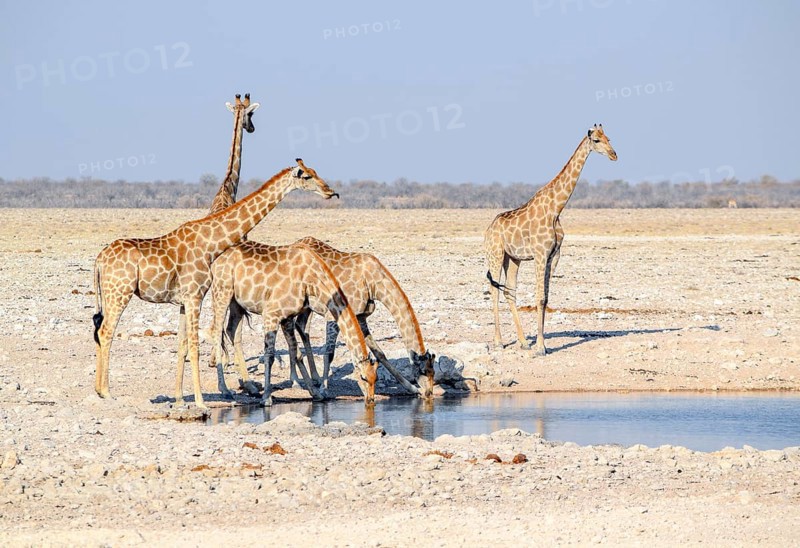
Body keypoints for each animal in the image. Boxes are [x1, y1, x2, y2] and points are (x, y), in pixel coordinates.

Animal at [92, 159, 338, 409]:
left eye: (315, 172)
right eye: (306, 176)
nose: (330, 191)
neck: (210, 245)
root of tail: (99, 260)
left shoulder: (184, 301)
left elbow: (182, 345)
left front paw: (179, 398)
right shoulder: (195, 296)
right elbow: (195, 345)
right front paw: (201, 402)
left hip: (110, 295)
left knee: (99, 329)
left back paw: (99, 390)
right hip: (120, 292)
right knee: (105, 332)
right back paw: (106, 392)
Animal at [207, 242, 378, 406]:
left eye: (375, 378)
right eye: (362, 377)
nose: (370, 400)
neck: (310, 278)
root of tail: (216, 259)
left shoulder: (287, 317)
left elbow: (296, 351)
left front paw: (315, 393)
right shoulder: (271, 314)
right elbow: (270, 356)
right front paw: (267, 398)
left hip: (236, 302)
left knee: (232, 330)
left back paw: (250, 387)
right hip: (222, 293)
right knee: (216, 331)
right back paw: (225, 389)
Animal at [287, 237, 435, 398]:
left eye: (433, 372)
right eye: (423, 371)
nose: (429, 393)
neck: (374, 284)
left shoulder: (361, 317)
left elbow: (380, 353)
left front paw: (411, 388)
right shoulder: (333, 317)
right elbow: (329, 353)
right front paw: (324, 389)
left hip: (307, 307)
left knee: (301, 327)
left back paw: (314, 378)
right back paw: (296, 382)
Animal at [484, 124, 617, 355]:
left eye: (609, 138)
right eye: (597, 141)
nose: (614, 155)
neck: (556, 209)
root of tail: (488, 229)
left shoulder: (553, 256)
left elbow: (545, 298)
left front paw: (540, 344)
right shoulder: (539, 254)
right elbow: (539, 297)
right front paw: (540, 348)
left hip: (513, 258)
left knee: (509, 291)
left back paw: (523, 342)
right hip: (495, 254)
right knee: (494, 290)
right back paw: (499, 342)